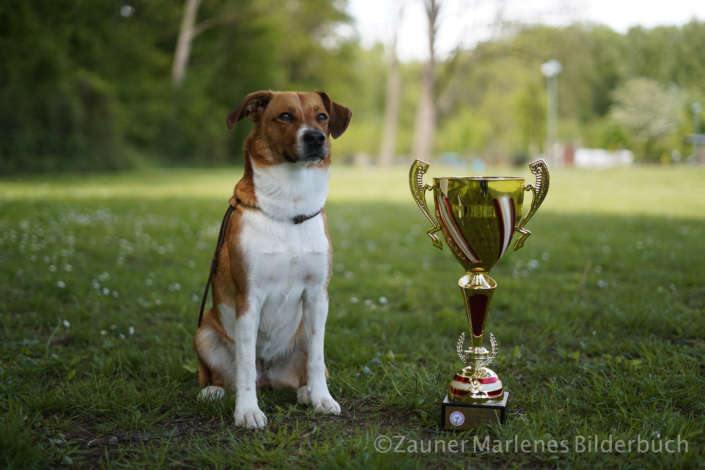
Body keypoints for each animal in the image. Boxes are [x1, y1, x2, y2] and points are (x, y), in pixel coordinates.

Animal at [192, 91, 352, 430]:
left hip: (302, 332)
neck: (290, 206)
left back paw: (305, 392)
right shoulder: (248, 298)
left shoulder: (318, 296)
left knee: (306, 369)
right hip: (204, 331)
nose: (316, 138)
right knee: (229, 375)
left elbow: (316, 359)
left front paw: (322, 399)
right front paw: (247, 411)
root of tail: (270, 377)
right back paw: (213, 391)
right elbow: (245, 367)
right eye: (286, 116)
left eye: (322, 116)